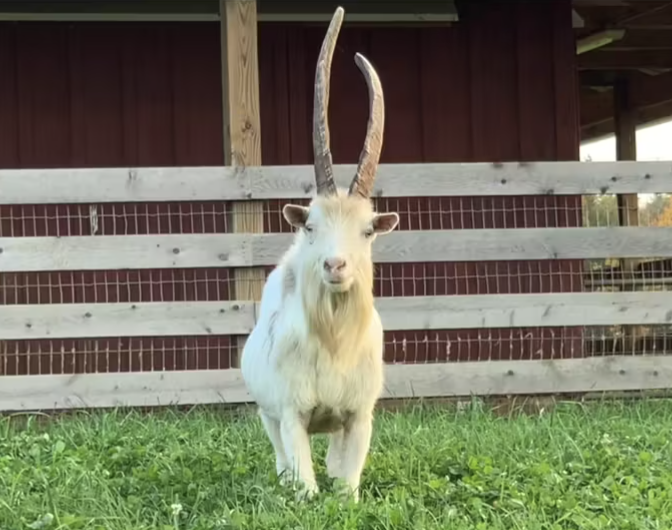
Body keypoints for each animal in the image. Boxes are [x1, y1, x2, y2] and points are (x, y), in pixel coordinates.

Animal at [240, 5, 399, 502]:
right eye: (310, 226)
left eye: (367, 231)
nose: (334, 264)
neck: (334, 340)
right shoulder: (291, 413)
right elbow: (304, 486)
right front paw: (303, 492)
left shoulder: (359, 415)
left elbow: (348, 483)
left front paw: (342, 493)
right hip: (267, 414)